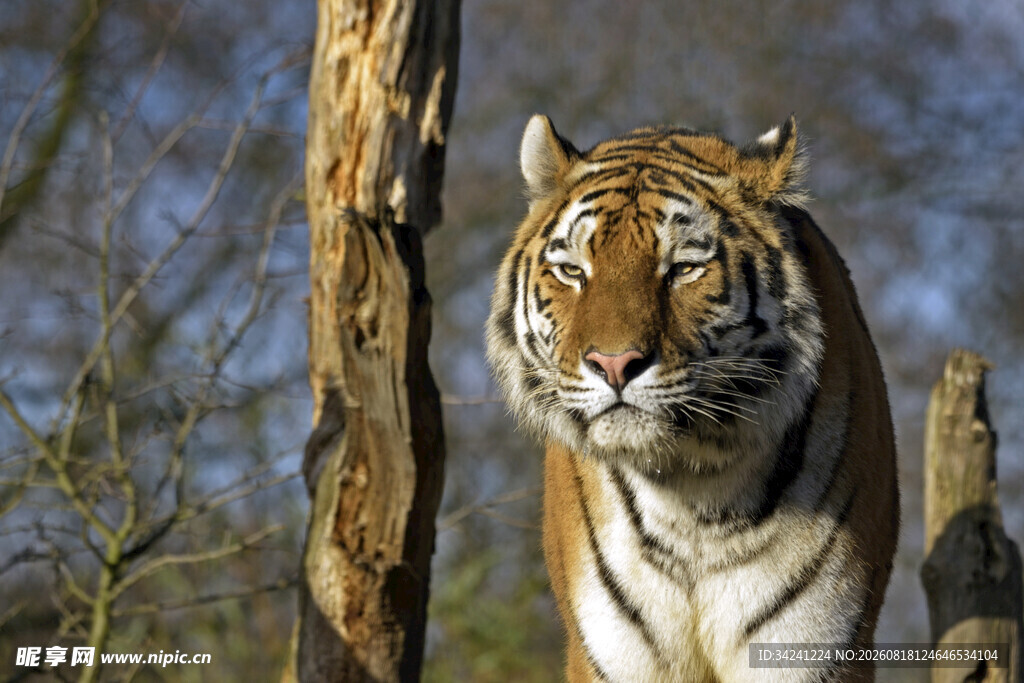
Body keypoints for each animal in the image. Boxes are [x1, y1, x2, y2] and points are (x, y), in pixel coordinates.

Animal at [484, 114, 899, 682]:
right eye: (573, 271)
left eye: (682, 269)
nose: (614, 364)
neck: (692, 492)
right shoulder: (610, 654)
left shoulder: (814, 648)